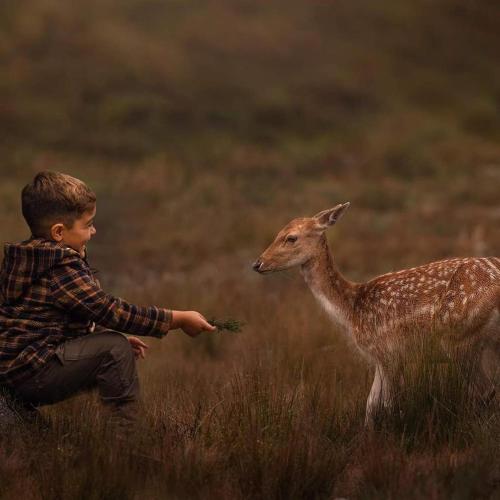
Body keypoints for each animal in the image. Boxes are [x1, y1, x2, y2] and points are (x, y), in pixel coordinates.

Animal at [254, 201, 500, 424]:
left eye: (291, 237)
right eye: (278, 232)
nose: (258, 264)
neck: (351, 310)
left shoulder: (388, 351)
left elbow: (388, 405)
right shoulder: (380, 359)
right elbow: (370, 405)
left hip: (460, 337)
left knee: (484, 391)